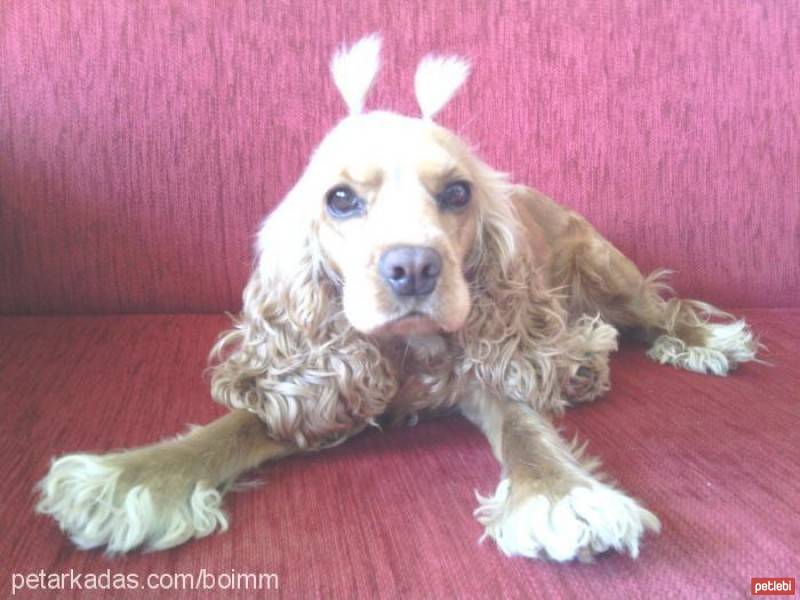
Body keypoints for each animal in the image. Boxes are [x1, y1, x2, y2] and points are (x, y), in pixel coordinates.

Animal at [36, 36, 756, 564]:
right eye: (341, 199)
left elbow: (526, 429)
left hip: (607, 270)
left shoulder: (491, 368)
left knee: (660, 309)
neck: (411, 353)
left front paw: (563, 498)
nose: (412, 267)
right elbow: (233, 426)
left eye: (458, 193)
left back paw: (697, 344)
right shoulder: (319, 380)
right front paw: (127, 478)